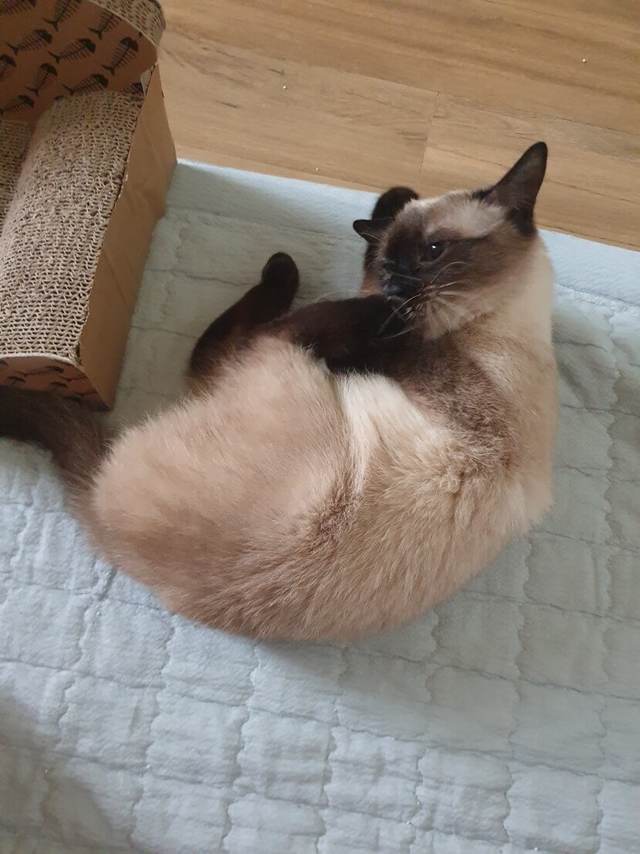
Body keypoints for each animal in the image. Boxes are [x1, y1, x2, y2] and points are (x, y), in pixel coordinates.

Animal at [0, 142, 557, 641]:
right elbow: (381, 236)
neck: (497, 319)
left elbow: (378, 316)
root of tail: (105, 516)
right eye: (393, 261)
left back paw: (283, 267)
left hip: (286, 355)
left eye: (434, 251)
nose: (398, 285)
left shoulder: (417, 356)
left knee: (218, 346)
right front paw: (391, 202)